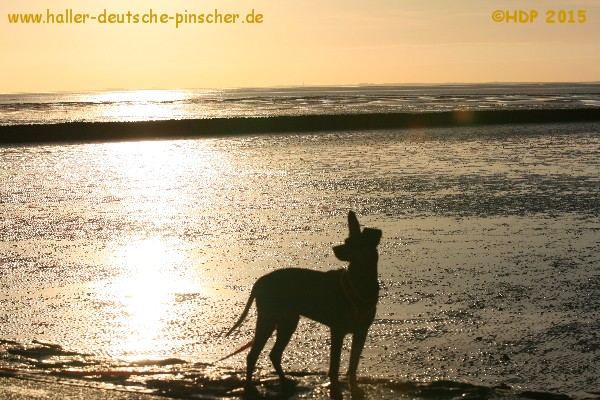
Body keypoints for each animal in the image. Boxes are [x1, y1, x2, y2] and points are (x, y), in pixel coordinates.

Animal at [227, 211, 382, 398]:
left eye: (355, 244)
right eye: (347, 241)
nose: (335, 248)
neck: (360, 283)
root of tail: (260, 281)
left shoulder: (362, 332)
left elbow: (353, 364)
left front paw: (355, 388)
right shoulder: (337, 330)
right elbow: (335, 365)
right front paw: (335, 390)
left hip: (287, 322)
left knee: (274, 354)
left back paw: (285, 382)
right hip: (269, 319)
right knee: (253, 355)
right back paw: (250, 387)